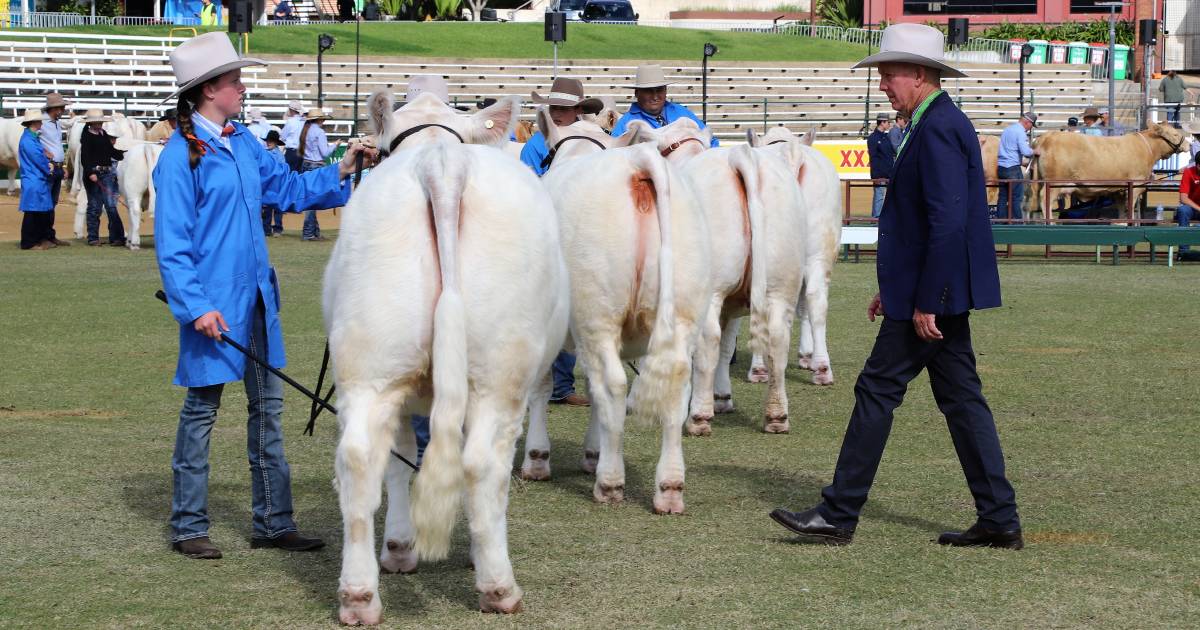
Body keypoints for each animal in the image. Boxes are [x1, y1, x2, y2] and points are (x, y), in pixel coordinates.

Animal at [321, 90, 568, 619]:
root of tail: (440, 163)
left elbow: (399, 460)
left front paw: (398, 548)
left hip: (370, 366)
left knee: (358, 460)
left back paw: (359, 595)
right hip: (501, 373)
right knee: (482, 465)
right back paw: (499, 587)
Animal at [528, 105, 710, 513]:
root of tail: (638, 162)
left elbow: (543, 387)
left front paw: (537, 458)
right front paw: (590, 452)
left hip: (598, 313)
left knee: (612, 384)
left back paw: (610, 482)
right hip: (683, 309)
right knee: (675, 382)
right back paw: (669, 487)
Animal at [638, 119, 806, 432]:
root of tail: (740, 155)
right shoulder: (734, 303)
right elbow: (729, 346)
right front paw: (722, 396)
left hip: (712, 289)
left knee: (708, 342)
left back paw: (698, 417)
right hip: (781, 283)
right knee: (777, 340)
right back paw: (776, 416)